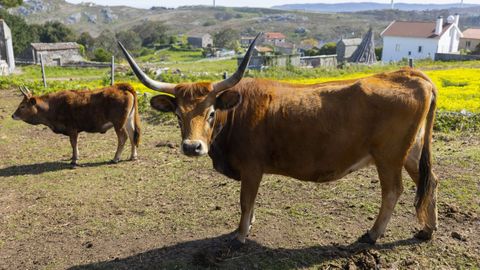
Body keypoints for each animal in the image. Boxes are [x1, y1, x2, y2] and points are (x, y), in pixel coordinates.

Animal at [11, 83, 141, 166]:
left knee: (123, 137)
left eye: (22, 106)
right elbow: (75, 143)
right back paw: (133, 156)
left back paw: (116, 158)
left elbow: (73, 143)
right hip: (128, 120)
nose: (13, 115)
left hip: (118, 123)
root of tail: (120, 86)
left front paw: (74, 160)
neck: (52, 106)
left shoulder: (71, 128)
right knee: (132, 135)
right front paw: (75, 156)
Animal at [118, 33, 436, 245]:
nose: (192, 147)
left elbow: (246, 201)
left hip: (388, 156)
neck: (236, 112)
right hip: (411, 151)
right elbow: (250, 203)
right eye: (178, 115)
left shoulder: (251, 167)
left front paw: (241, 234)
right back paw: (426, 230)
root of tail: (409, 73)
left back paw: (372, 234)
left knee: (393, 191)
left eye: (210, 113)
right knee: (429, 181)